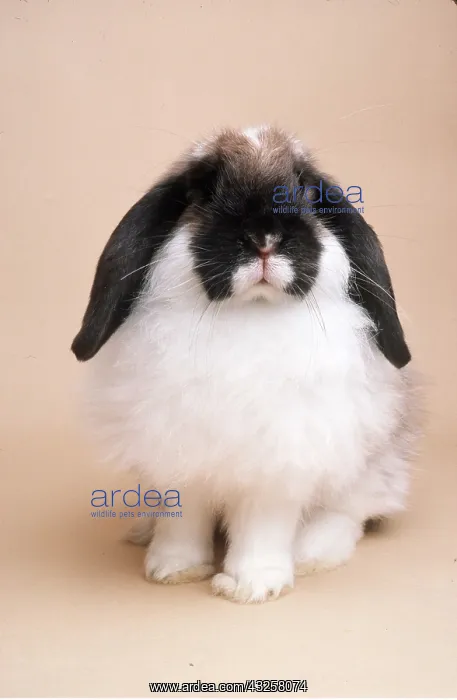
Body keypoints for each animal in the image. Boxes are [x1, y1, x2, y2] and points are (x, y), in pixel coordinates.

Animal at [72, 125, 421, 604]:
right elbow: (183, 520)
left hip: (373, 470)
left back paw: (313, 553)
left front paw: (251, 586)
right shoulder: (179, 459)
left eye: (306, 189)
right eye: (201, 190)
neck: (248, 315)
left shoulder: (278, 464)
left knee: (350, 514)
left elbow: (262, 527)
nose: (263, 237)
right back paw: (142, 531)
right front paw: (173, 570)